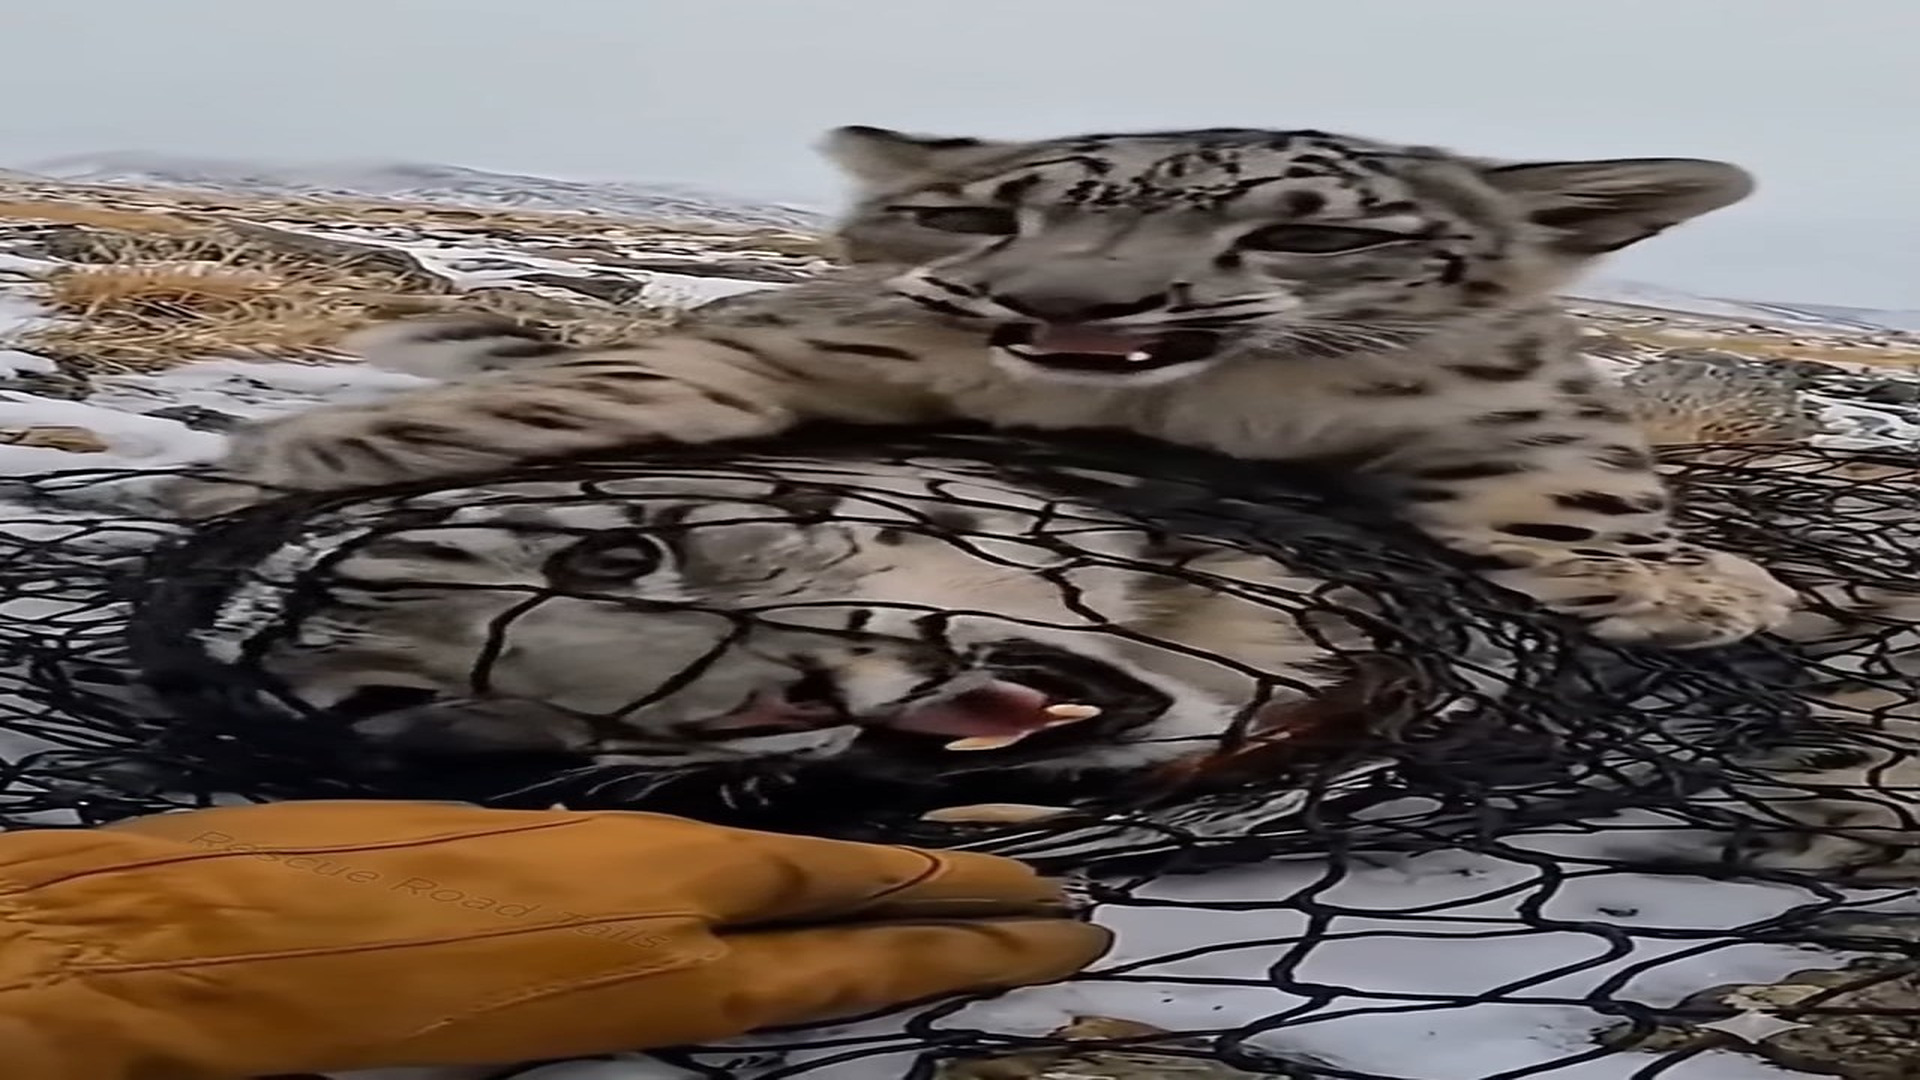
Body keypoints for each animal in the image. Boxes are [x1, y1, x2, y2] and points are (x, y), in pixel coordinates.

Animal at [163, 123, 1799, 650]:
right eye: (989, 218)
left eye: (1307, 231)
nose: (1065, 306)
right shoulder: (826, 341)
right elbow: (653, 375)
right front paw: (307, 451)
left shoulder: (1504, 404)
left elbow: (1578, 473)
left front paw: (1682, 583)